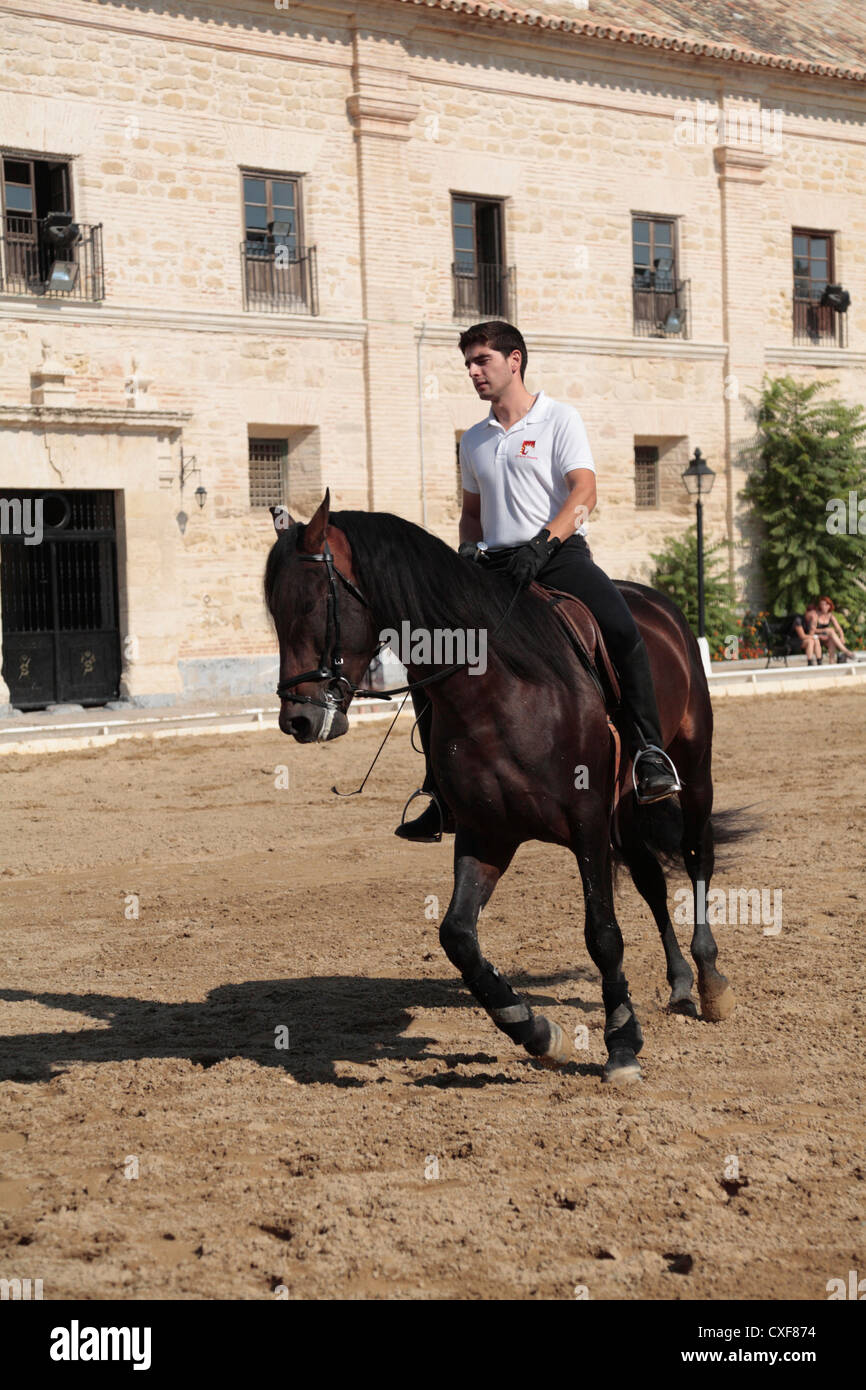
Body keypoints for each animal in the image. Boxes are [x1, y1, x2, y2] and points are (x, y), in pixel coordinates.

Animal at [265, 492, 739, 1084]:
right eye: (273, 612)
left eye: (310, 605)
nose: (297, 720)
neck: (501, 689)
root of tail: (655, 604)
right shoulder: (487, 831)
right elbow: (457, 936)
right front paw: (535, 1031)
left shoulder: (586, 822)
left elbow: (603, 934)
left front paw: (622, 1045)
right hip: (625, 811)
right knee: (651, 879)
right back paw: (678, 983)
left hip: (692, 769)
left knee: (697, 856)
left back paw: (710, 979)